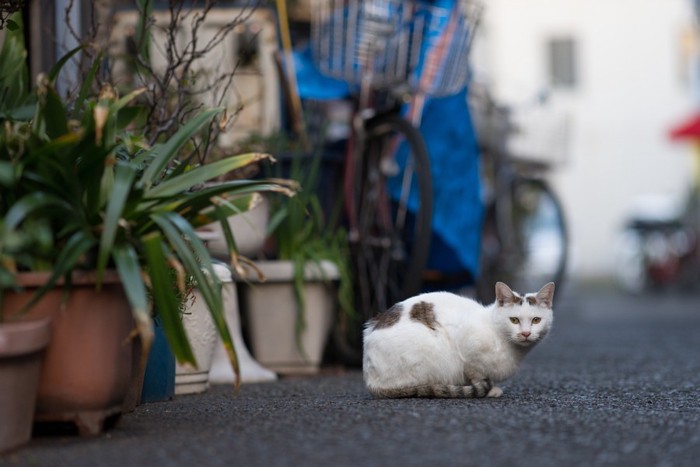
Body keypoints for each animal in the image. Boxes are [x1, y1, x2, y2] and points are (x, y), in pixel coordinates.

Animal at [364, 282, 556, 398]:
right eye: (514, 320)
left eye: (536, 320)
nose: (525, 333)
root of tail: (371, 380)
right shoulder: (467, 350)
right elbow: (476, 374)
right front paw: (488, 389)